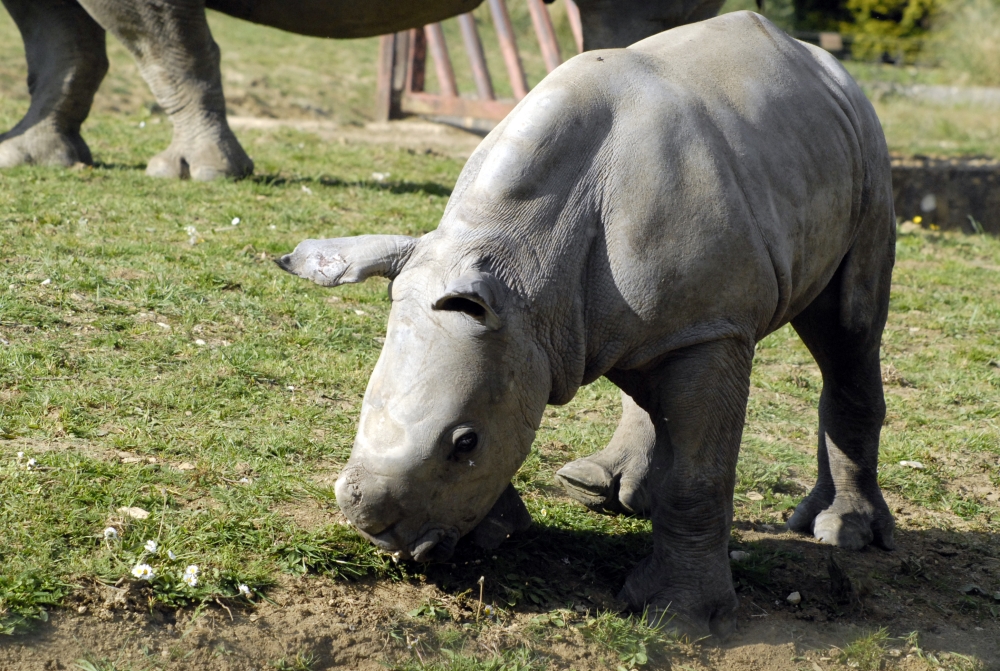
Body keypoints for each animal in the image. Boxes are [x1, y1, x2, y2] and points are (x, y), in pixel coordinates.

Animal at [277, 11, 897, 636]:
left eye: (465, 443)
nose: (383, 538)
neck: (518, 260)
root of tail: (822, 62)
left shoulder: (714, 328)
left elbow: (698, 475)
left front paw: (677, 616)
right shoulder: (526, 323)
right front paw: (497, 534)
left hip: (868, 150)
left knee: (849, 331)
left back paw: (841, 535)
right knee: (645, 358)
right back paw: (602, 491)